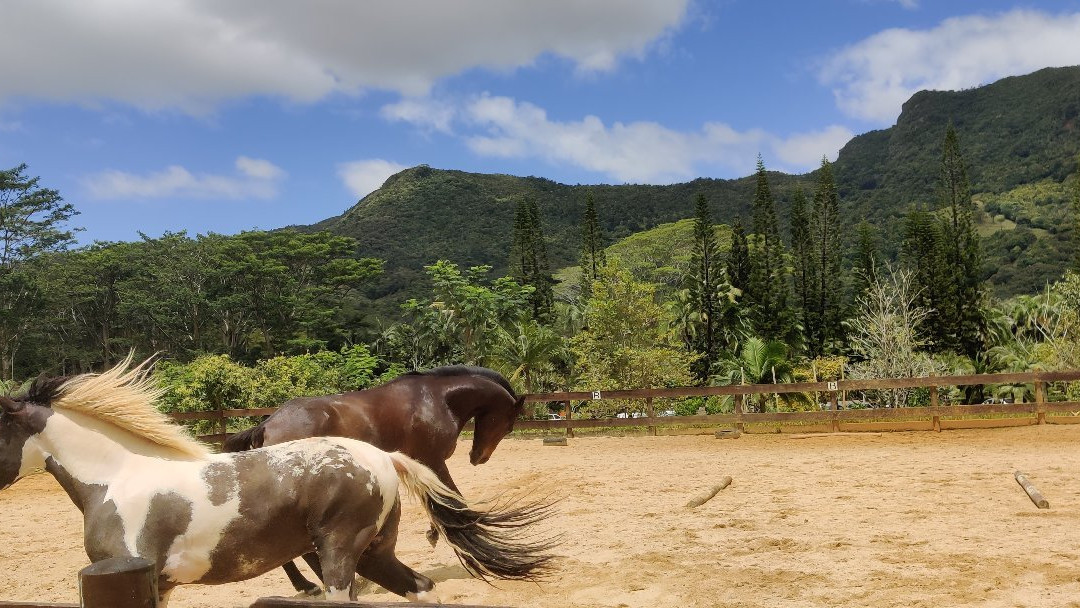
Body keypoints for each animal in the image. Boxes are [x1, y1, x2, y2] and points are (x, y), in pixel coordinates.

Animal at [0, 358, 557, 604]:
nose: (481, 456)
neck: (116, 478)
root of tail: (380, 457)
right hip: (370, 552)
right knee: (418, 588)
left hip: (343, 552)